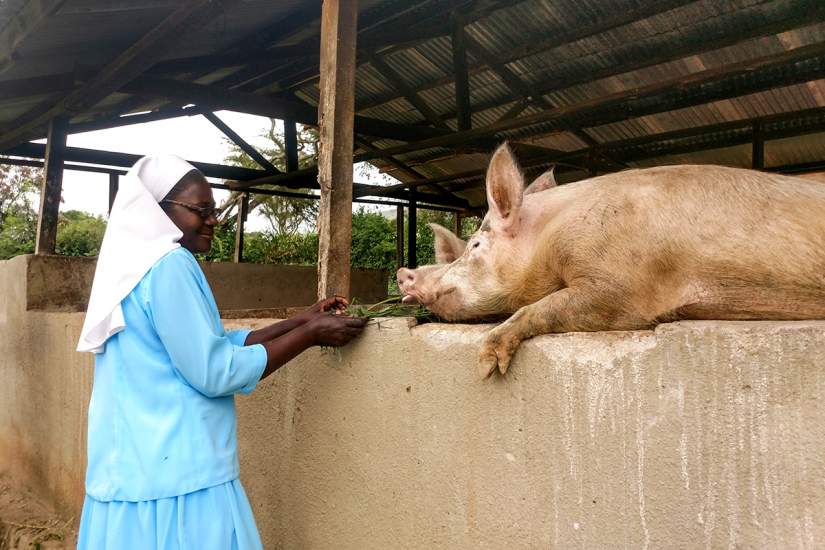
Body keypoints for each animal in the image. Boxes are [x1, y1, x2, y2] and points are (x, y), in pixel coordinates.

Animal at [398, 143, 824, 380]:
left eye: (475, 245)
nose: (404, 273)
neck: (550, 237)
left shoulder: (624, 286)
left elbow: (544, 306)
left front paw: (487, 366)